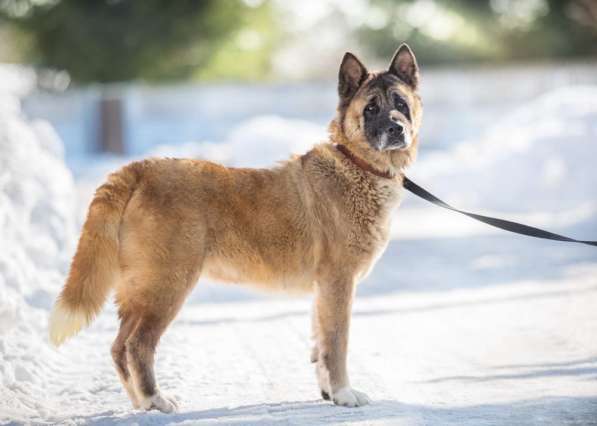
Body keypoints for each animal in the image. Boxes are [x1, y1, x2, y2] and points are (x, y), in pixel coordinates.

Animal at [50, 44, 424, 412]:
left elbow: (319, 345)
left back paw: (141, 403)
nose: (396, 129)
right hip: (167, 285)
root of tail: (141, 169)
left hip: (141, 289)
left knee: (118, 346)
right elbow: (337, 343)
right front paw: (344, 393)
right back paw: (156, 399)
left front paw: (329, 392)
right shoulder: (338, 283)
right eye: (371, 108)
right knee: (138, 345)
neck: (357, 165)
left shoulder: (323, 290)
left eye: (400, 104)